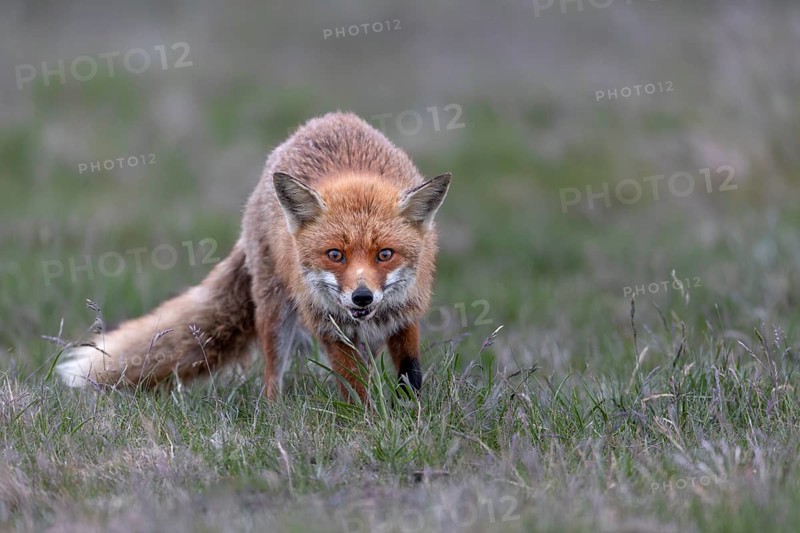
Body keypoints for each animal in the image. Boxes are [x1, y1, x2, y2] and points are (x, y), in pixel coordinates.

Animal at [57, 112, 451, 402]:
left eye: (385, 254)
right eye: (335, 254)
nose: (362, 296)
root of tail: (329, 118)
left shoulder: (405, 315)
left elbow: (410, 374)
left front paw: (410, 415)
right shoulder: (327, 326)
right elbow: (353, 388)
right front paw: (365, 423)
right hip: (274, 312)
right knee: (272, 374)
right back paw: (276, 414)